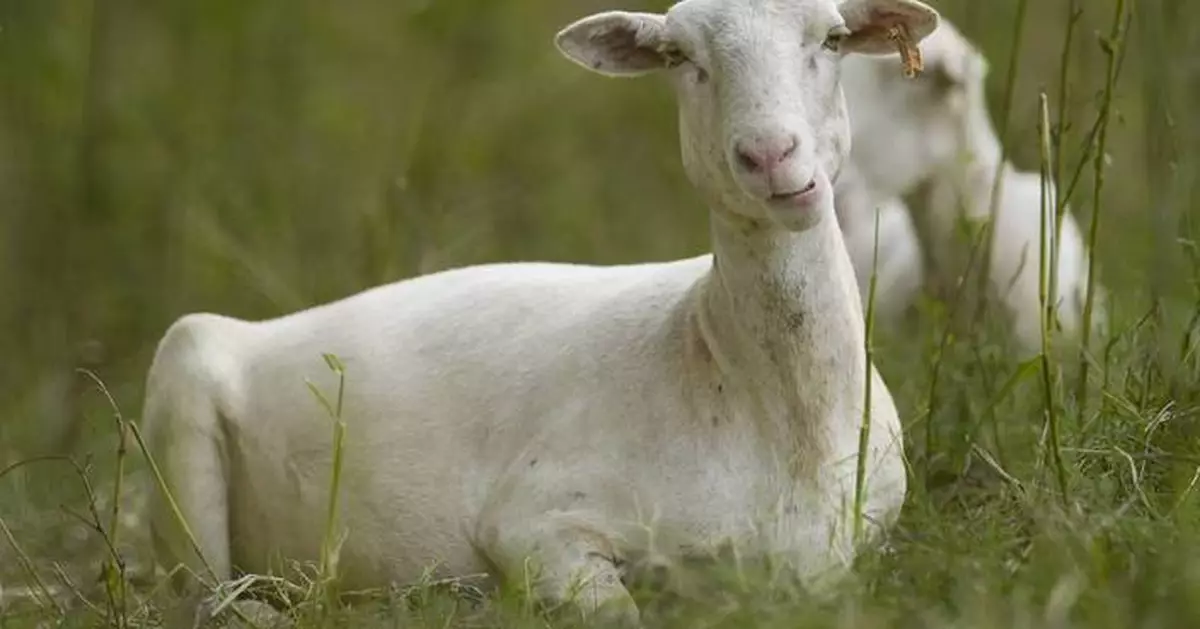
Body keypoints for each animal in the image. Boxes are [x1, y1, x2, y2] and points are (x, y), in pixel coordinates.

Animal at [140, 0, 940, 624]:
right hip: (182, 398)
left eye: (832, 38)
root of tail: (262, 329)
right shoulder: (535, 522)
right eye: (678, 56)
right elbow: (617, 612)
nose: (770, 155)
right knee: (203, 597)